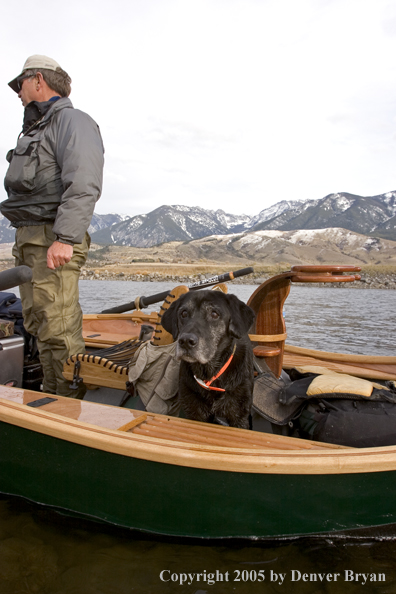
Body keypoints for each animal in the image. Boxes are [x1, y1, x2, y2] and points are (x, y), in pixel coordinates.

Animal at [162, 290, 256, 428]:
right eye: (183, 313)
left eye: (214, 314)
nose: (186, 341)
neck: (210, 375)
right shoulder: (194, 411)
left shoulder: (239, 416)